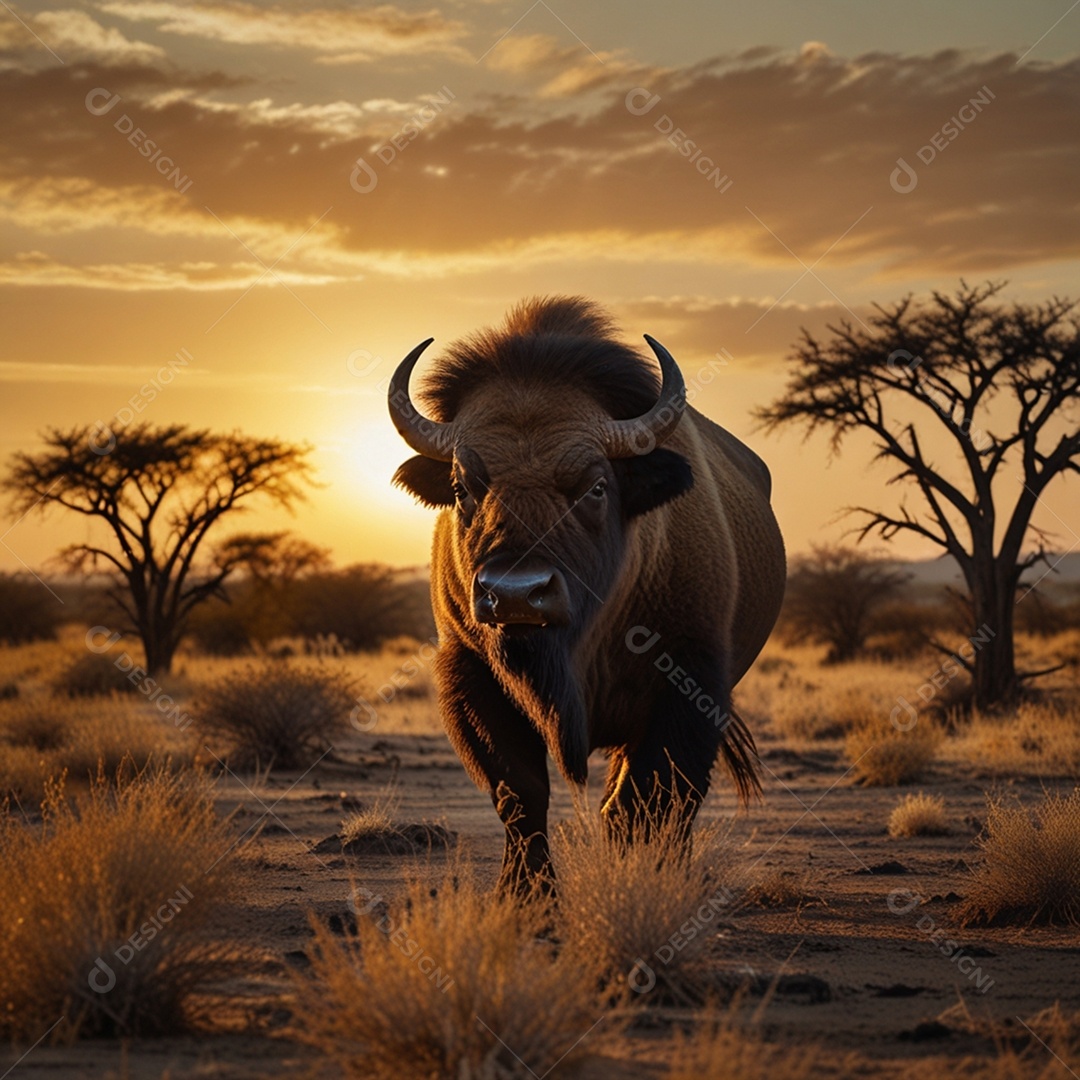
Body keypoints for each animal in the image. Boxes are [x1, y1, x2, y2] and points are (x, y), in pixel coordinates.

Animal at [388, 297, 785, 891]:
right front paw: (525, 895)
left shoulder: (690, 684)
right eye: (463, 487)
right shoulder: (472, 677)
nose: (516, 594)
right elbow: (521, 794)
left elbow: (649, 799)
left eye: (596, 487)